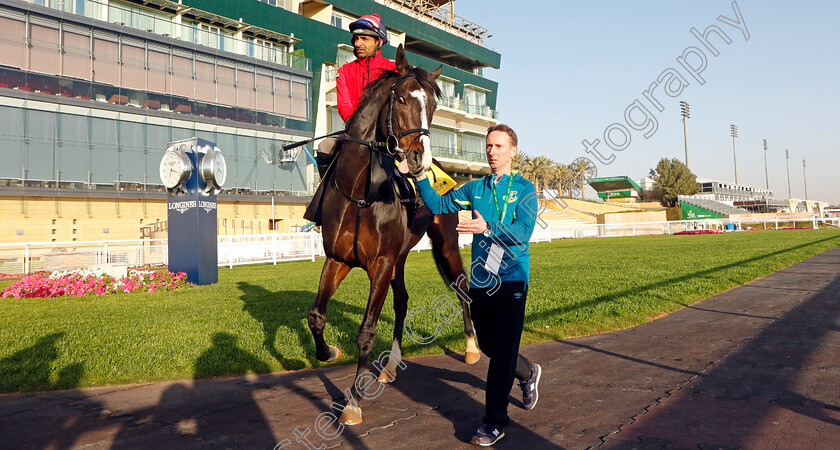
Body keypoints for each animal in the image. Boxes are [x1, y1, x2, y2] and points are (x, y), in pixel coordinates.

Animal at [308, 45, 480, 426]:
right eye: (400, 99)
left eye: (433, 107)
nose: (419, 160)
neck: (361, 193)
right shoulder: (338, 259)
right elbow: (316, 316)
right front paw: (328, 352)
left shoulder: (381, 264)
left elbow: (367, 331)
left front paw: (354, 402)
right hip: (400, 257)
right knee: (402, 300)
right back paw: (389, 366)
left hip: (445, 243)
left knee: (461, 286)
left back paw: (472, 348)